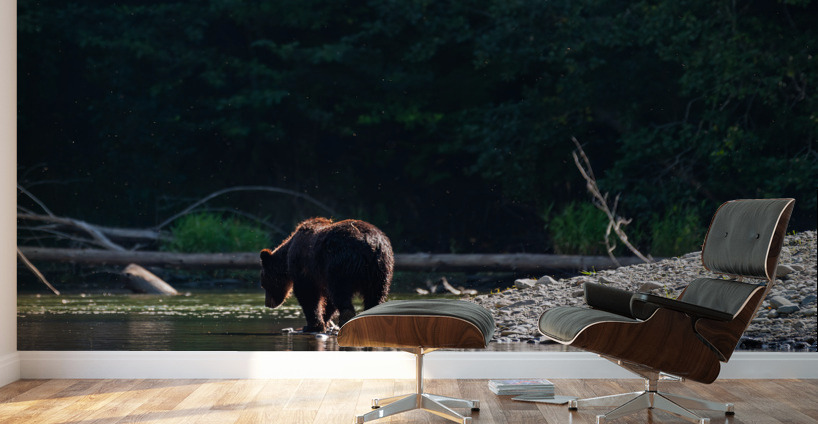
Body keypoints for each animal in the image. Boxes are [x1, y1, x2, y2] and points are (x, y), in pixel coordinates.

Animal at [259, 217, 394, 333]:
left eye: (264, 284)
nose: (267, 303)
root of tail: (371, 244)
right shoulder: (322, 276)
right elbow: (328, 300)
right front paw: (324, 321)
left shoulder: (305, 269)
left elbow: (308, 295)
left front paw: (312, 325)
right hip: (381, 269)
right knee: (375, 296)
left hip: (341, 264)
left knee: (341, 292)